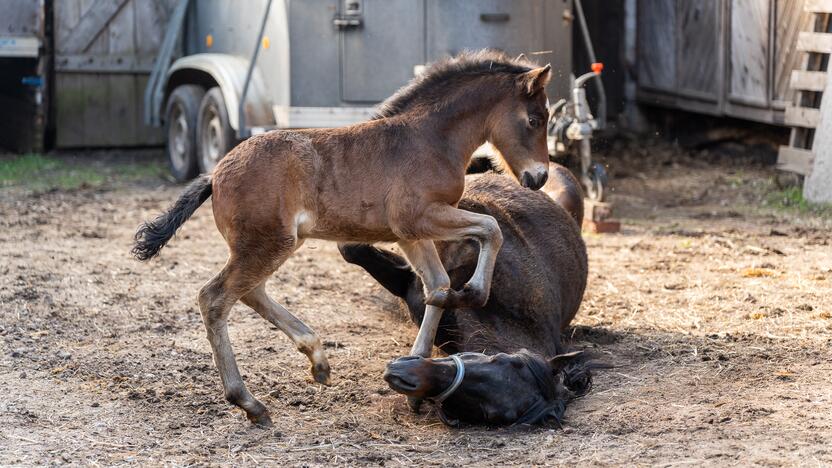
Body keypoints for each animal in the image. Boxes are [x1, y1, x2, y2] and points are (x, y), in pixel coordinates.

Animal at [132, 50, 552, 424]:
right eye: (534, 119)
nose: (539, 177)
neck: (429, 139)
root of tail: (215, 173)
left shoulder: (409, 234)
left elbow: (436, 286)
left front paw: (416, 368)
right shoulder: (419, 217)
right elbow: (490, 229)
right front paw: (474, 293)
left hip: (271, 244)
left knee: (251, 292)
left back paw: (317, 359)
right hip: (269, 244)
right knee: (215, 298)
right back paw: (249, 402)